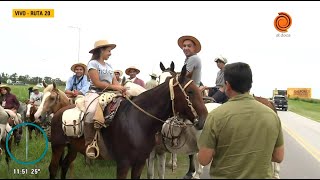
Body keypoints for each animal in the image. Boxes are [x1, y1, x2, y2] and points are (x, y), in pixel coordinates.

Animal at [47, 63, 208, 179]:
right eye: (190, 91)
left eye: (198, 90)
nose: (203, 119)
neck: (137, 121)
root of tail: (58, 112)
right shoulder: (123, 164)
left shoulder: (140, 162)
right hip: (57, 146)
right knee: (53, 169)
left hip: (73, 147)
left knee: (65, 165)